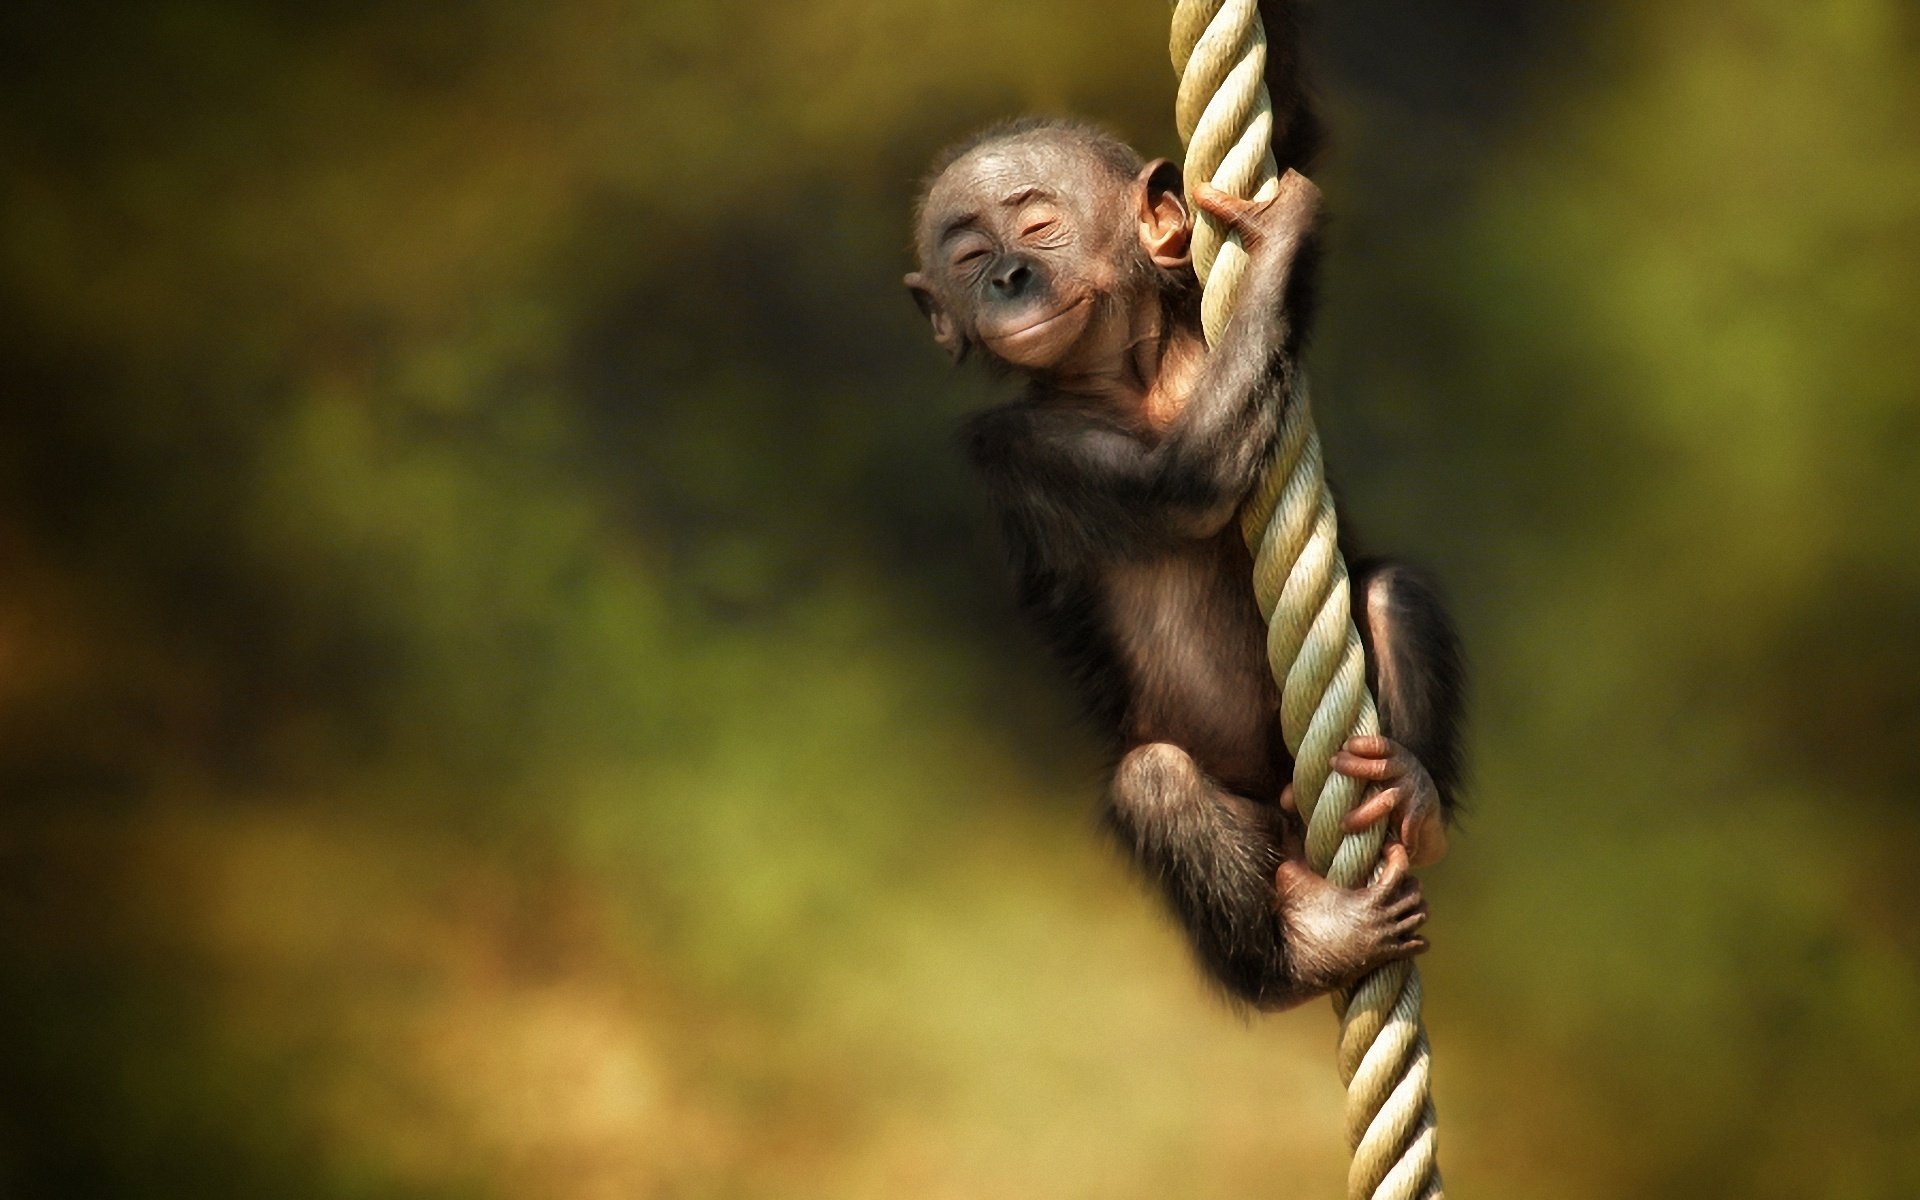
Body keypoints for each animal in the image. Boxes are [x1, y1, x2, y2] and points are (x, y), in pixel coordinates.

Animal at [903, 116, 1466, 1011]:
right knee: (1156, 784)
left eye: (1037, 225)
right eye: (968, 255)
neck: (1130, 377)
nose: (1008, 276)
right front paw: (1276, 239)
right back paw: (1311, 948)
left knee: (1391, 592)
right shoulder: (1016, 446)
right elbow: (1185, 481)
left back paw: (1414, 796)